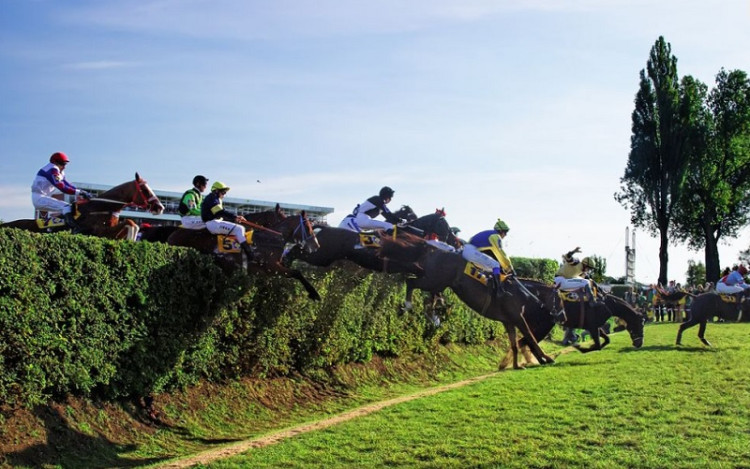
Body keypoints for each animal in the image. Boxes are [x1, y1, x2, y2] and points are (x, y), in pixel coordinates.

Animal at [0, 172, 164, 239]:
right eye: (144, 189)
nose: (160, 207)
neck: (101, 208)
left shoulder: (109, 233)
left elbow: (130, 224)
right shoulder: (99, 232)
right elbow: (130, 222)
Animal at [167, 212, 324, 300]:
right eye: (308, 227)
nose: (317, 245)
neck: (270, 239)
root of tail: (175, 232)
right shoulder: (272, 267)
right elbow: (297, 273)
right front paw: (314, 294)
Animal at [382, 238, 564, 370]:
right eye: (561, 300)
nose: (562, 316)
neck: (521, 293)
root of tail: (433, 251)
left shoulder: (509, 321)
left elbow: (514, 344)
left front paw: (515, 365)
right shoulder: (519, 318)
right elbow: (530, 337)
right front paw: (547, 358)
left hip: (438, 282)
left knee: (427, 294)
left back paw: (432, 314)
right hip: (434, 279)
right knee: (410, 282)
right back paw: (408, 305)